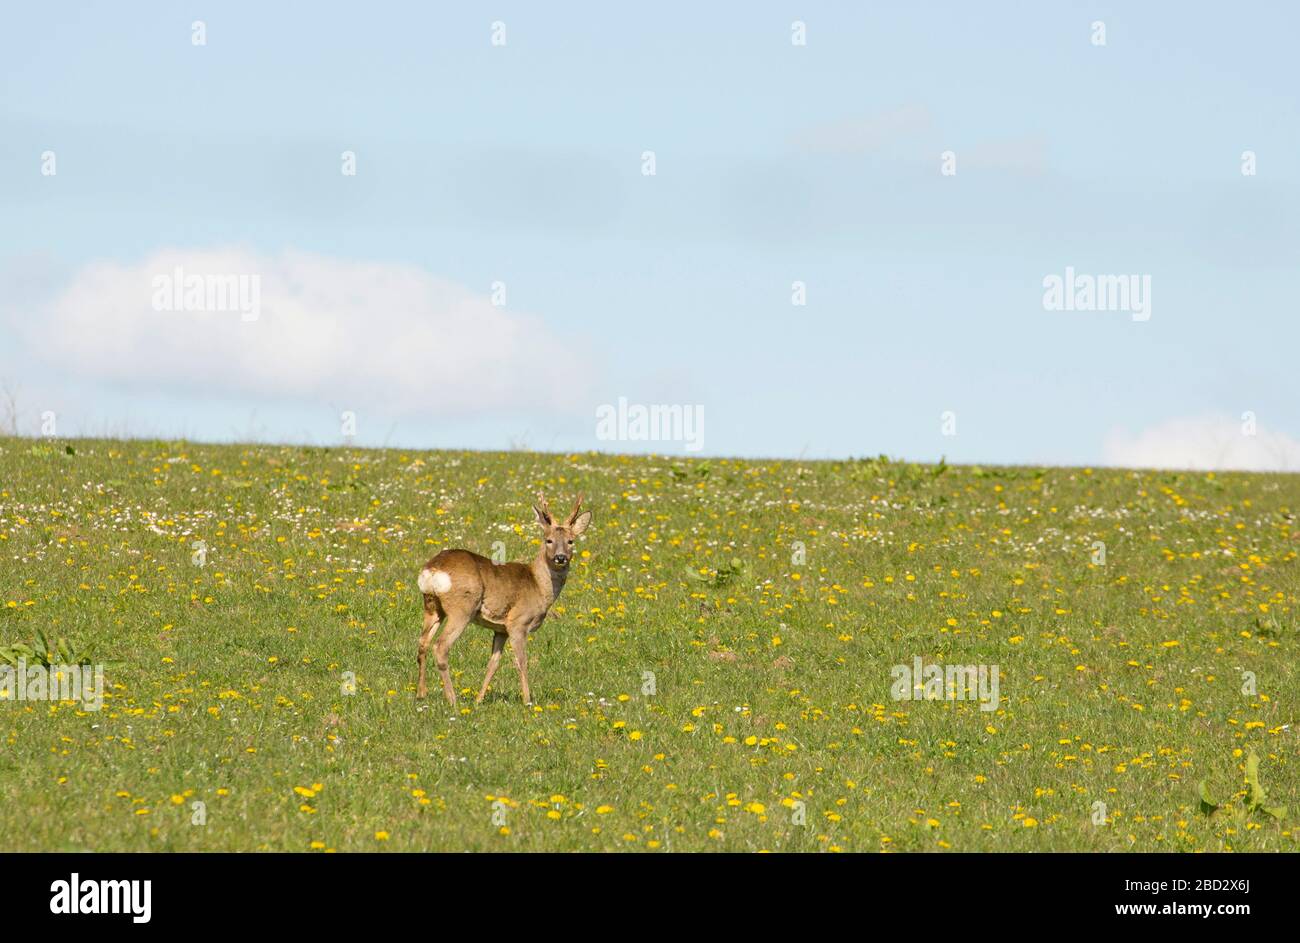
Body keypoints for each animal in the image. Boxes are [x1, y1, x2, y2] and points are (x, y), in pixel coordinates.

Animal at [416, 493, 592, 706]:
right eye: (548, 540)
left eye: (571, 541)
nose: (560, 557)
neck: (538, 585)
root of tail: (432, 570)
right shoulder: (518, 622)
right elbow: (521, 661)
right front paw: (527, 700)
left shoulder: (500, 629)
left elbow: (493, 663)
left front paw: (479, 699)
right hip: (461, 608)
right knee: (440, 647)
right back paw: (452, 699)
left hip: (432, 607)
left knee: (422, 644)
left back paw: (421, 693)